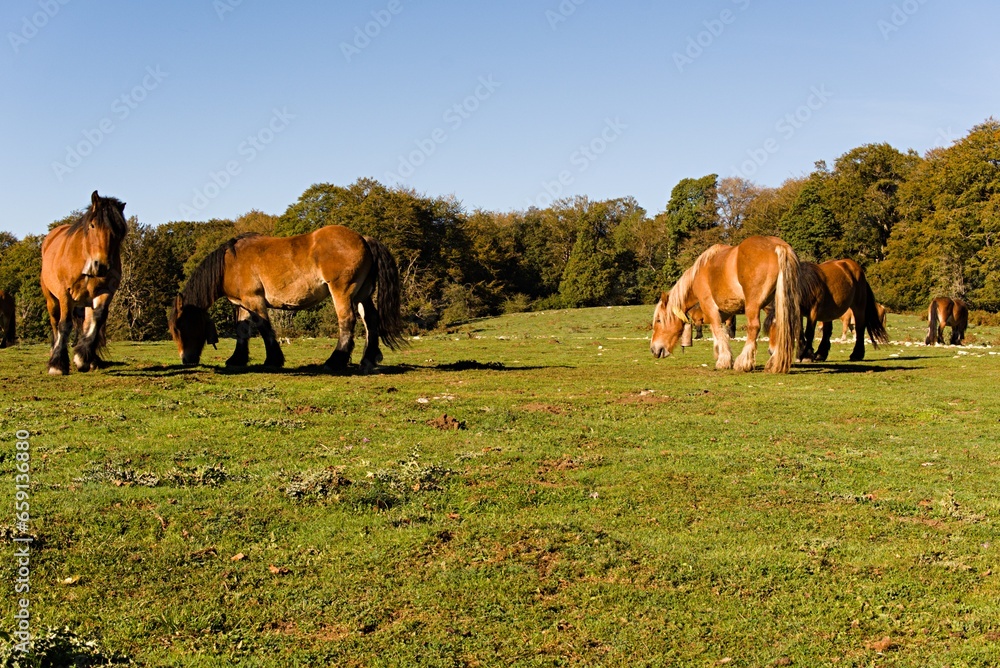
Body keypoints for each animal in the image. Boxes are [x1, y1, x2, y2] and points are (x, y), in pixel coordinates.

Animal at [40, 191, 128, 374]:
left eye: (118, 231)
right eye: (93, 225)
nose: (100, 266)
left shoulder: (105, 292)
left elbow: (97, 319)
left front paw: (82, 358)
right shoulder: (65, 294)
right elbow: (64, 324)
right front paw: (57, 364)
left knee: (88, 323)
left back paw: (90, 359)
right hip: (51, 299)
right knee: (55, 323)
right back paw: (54, 352)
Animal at [168, 225, 405, 372]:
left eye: (180, 327)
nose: (185, 359)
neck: (230, 263)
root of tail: (364, 239)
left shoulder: (254, 300)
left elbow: (264, 329)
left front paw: (273, 359)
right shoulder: (242, 303)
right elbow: (241, 330)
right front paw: (237, 359)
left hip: (343, 292)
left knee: (347, 321)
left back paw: (335, 361)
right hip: (363, 295)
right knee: (370, 321)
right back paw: (368, 359)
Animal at [650, 235, 801, 373]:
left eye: (659, 320)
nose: (653, 349)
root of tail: (778, 246)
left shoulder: (709, 306)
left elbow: (717, 330)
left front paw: (723, 361)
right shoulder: (722, 313)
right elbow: (718, 332)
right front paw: (721, 355)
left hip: (754, 306)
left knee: (754, 327)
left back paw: (743, 363)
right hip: (775, 305)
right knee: (780, 326)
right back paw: (774, 362)